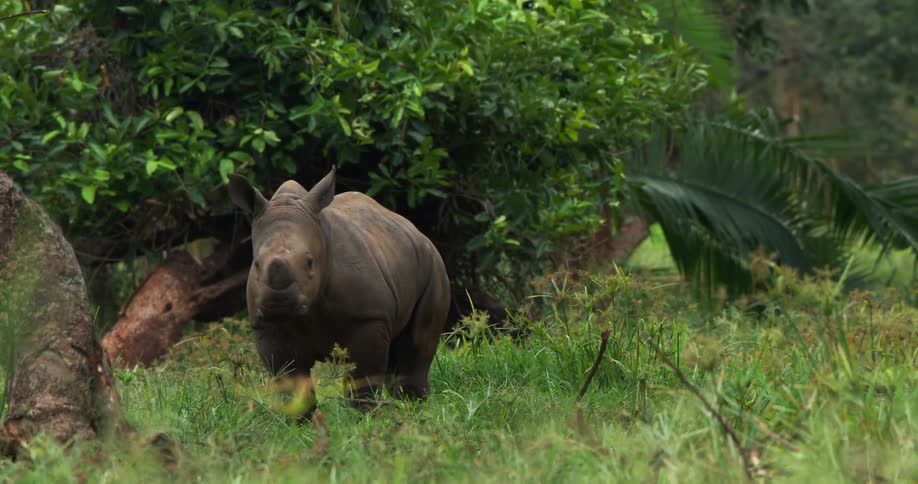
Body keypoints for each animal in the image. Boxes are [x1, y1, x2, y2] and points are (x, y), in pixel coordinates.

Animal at [228, 167, 450, 413]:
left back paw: (413, 406)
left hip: (433, 265)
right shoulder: (268, 327)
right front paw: (300, 417)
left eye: (310, 262)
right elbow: (290, 381)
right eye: (256, 264)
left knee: (417, 345)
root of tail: (416, 230)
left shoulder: (368, 317)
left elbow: (363, 376)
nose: (278, 303)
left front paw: (365, 415)